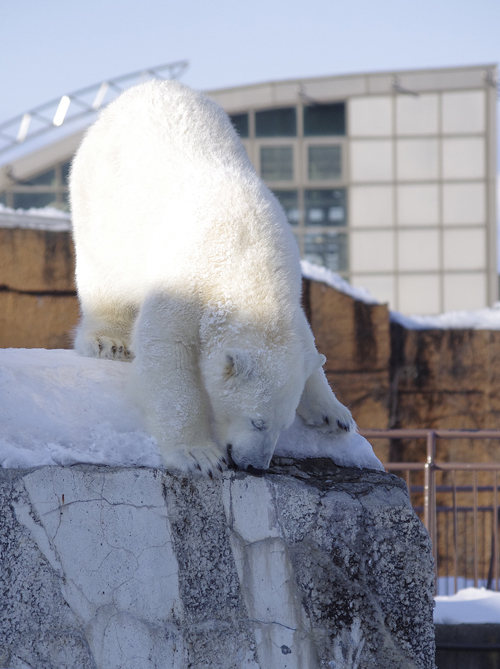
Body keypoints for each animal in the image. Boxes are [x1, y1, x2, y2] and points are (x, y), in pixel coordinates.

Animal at [70, 79, 356, 474]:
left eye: (282, 426)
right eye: (256, 421)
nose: (255, 465)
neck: (248, 262)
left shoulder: (288, 291)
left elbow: (305, 342)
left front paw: (334, 413)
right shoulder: (185, 283)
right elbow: (167, 354)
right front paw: (200, 455)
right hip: (102, 204)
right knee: (104, 278)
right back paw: (107, 340)